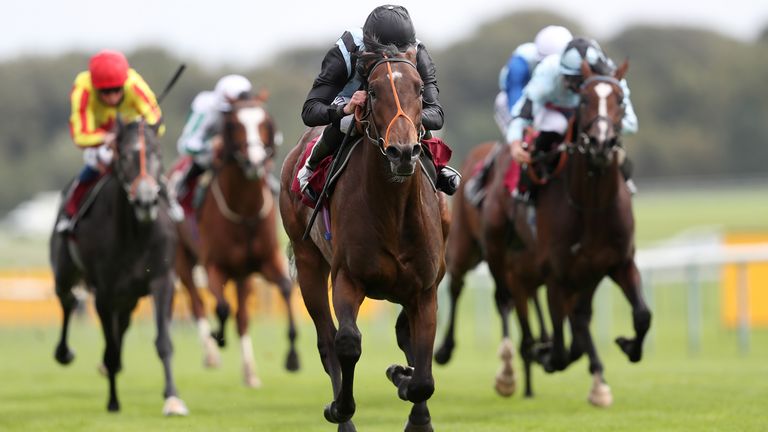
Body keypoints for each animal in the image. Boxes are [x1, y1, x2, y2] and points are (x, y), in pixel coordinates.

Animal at [50, 119, 188, 416]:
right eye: (124, 156)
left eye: (158, 153)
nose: (146, 201)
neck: (136, 233)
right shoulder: (104, 292)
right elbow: (110, 349)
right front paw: (113, 401)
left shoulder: (162, 280)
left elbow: (163, 341)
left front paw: (172, 397)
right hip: (66, 271)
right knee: (67, 299)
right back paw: (64, 352)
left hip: (129, 297)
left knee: (121, 325)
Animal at [174, 96, 300, 386]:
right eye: (234, 124)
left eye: (265, 122)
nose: (254, 163)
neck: (244, 212)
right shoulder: (213, 266)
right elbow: (221, 307)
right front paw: (218, 337)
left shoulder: (265, 261)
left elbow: (286, 290)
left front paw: (292, 357)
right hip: (182, 259)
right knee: (197, 303)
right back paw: (211, 353)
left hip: (243, 276)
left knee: (241, 317)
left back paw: (249, 372)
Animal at [280, 44, 450, 432]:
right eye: (372, 91)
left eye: (420, 89)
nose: (402, 152)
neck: (393, 210)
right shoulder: (348, 277)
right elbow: (347, 342)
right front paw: (341, 408)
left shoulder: (425, 289)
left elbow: (423, 373)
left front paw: (412, 400)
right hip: (309, 263)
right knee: (327, 340)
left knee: (404, 333)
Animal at [536, 60, 656, 404]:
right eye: (585, 99)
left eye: (621, 100)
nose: (602, 144)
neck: (591, 207)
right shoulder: (557, 273)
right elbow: (559, 345)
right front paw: (547, 354)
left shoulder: (620, 263)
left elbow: (643, 315)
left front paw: (629, 347)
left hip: (588, 277)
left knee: (579, 317)